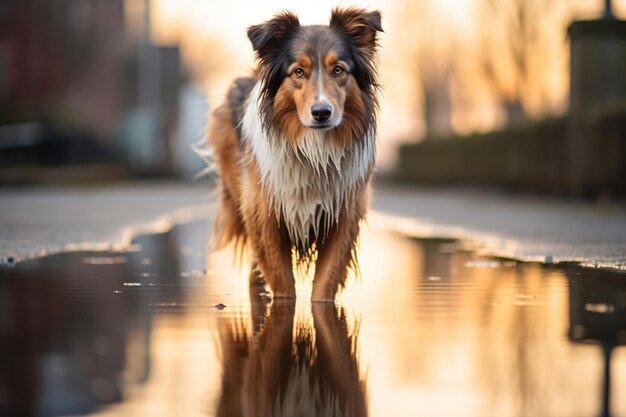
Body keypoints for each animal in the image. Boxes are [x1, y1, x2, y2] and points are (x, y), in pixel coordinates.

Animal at [206, 5, 380, 300]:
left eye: (338, 70)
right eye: (298, 72)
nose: (321, 113)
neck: (314, 149)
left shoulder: (343, 215)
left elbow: (324, 285)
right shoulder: (265, 214)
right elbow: (282, 282)